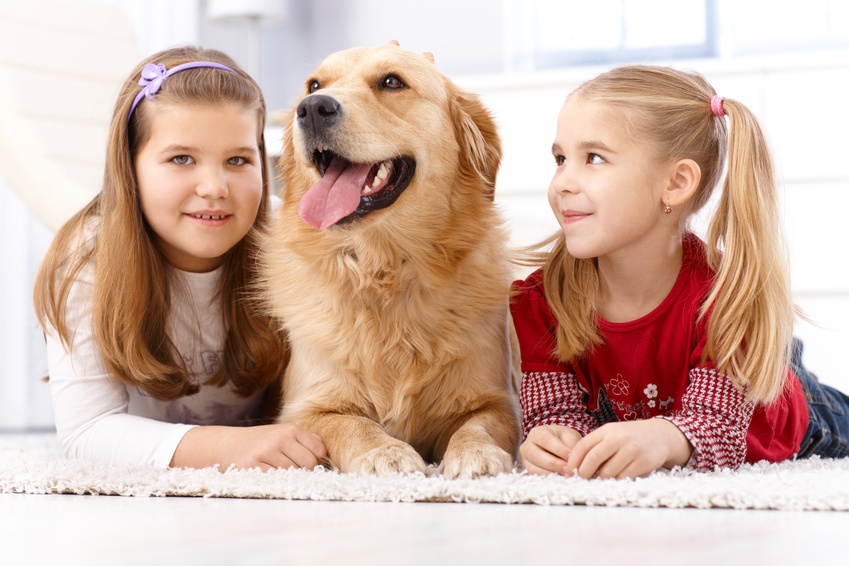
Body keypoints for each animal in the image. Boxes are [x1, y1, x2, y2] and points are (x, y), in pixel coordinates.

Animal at [262, 44, 520, 480]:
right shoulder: (306, 408)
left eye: (392, 81)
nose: (311, 109)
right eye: (314, 85)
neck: (385, 273)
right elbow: (352, 423)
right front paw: (385, 452)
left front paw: (476, 452)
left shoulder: (494, 399)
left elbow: (479, 424)